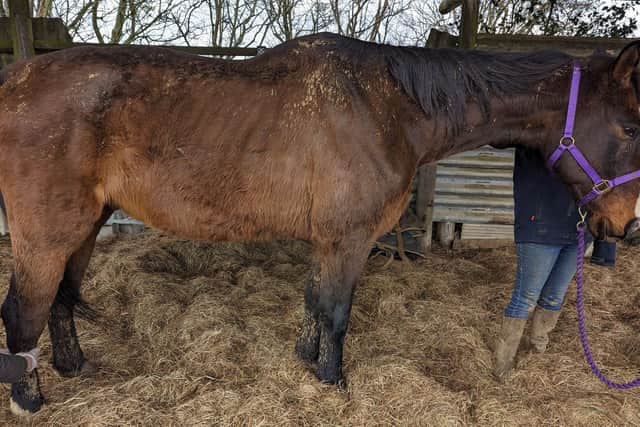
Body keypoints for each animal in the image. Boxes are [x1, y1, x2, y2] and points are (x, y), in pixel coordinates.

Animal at [1, 33, 639, 415]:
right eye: (631, 128)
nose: (623, 226)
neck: (391, 107)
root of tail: (13, 84)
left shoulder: (329, 241)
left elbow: (314, 304)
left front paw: (307, 364)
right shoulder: (348, 239)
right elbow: (335, 312)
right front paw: (333, 382)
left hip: (85, 228)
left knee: (59, 301)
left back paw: (73, 367)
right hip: (47, 236)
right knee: (23, 312)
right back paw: (28, 399)